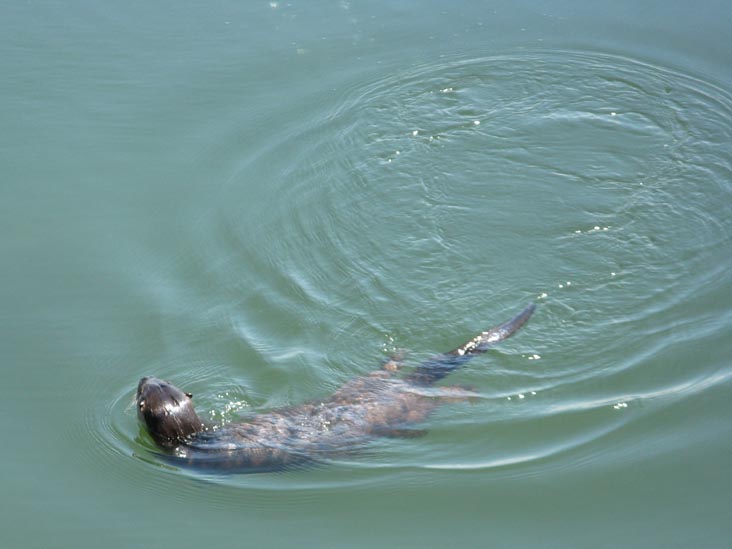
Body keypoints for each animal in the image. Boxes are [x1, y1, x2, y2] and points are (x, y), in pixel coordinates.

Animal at [136, 303, 535, 472]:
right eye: (162, 382)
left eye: (145, 392)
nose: (143, 377)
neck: (195, 437)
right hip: (364, 383)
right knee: (387, 372)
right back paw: (396, 355)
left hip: (413, 406)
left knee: (439, 396)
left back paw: (468, 391)